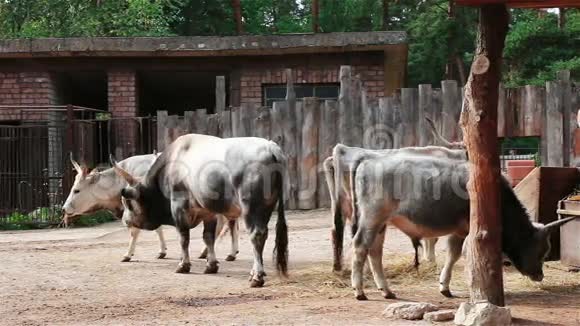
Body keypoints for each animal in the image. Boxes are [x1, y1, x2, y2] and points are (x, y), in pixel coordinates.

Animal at [110, 134, 288, 286]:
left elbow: (183, 238)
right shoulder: (208, 212)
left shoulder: (179, 207)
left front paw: (183, 265)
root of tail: (270, 147)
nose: (125, 220)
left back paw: (257, 276)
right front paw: (211, 265)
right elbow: (208, 237)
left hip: (251, 208)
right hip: (266, 208)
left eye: (128, 203)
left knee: (256, 235)